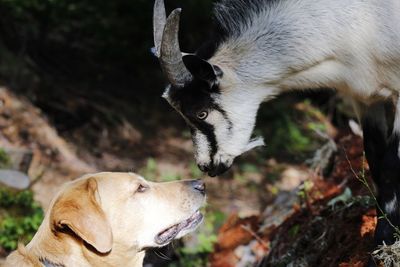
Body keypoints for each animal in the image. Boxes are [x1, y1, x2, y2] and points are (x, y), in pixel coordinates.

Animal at [154, 0, 400, 253]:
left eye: (201, 113)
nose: (206, 166)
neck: (364, 23)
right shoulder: (364, 98)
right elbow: (375, 157)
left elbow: (391, 164)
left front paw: (386, 237)